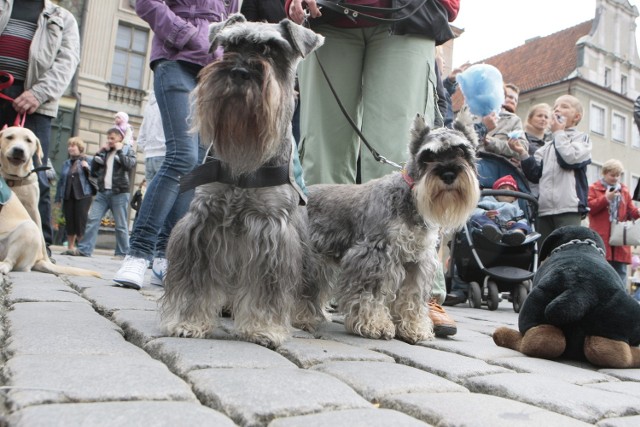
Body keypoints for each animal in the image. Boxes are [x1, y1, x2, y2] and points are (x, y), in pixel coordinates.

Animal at [0, 127, 100, 278]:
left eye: (28, 140)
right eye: (9, 137)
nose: (18, 150)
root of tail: (37, 260)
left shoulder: (33, 208)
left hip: (28, 228)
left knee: (11, 262)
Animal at [158, 15, 322, 350]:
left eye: (270, 50)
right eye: (230, 46)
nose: (239, 71)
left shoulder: (272, 229)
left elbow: (268, 290)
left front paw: (263, 328)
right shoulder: (203, 221)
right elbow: (194, 282)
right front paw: (187, 321)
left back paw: (303, 317)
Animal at [304, 116, 480, 344]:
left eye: (461, 151)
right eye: (429, 156)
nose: (448, 174)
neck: (412, 198)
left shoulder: (417, 262)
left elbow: (412, 297)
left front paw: (414, 328)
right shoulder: (376, 257)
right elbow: (371, 295)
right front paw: (375, 324)